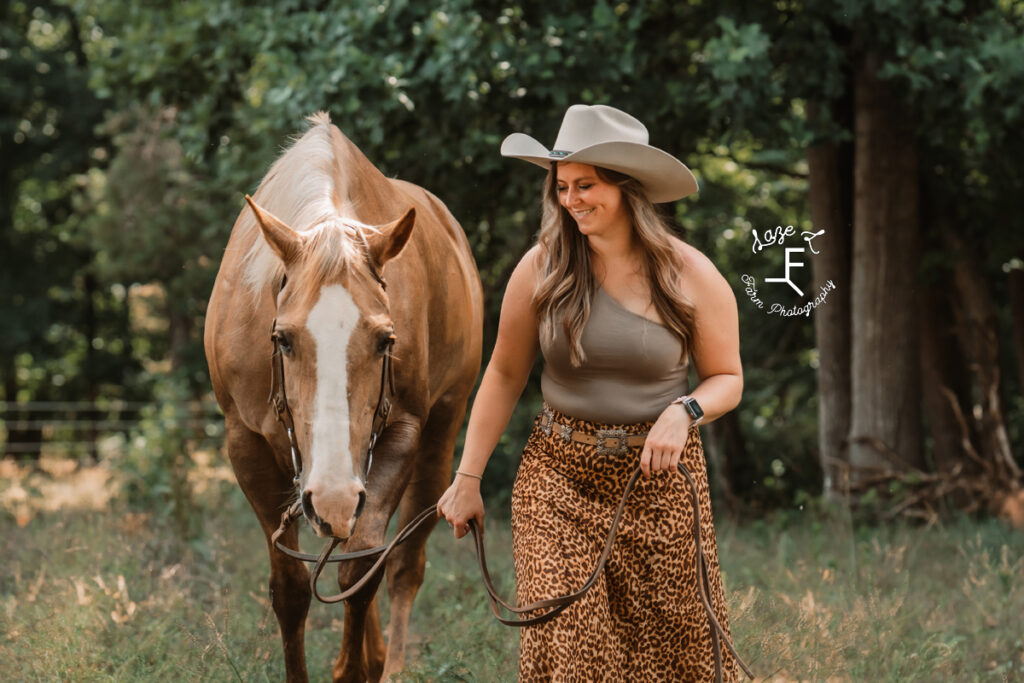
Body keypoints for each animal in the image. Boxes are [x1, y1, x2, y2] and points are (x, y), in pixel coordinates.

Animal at [205, 113, 485, 683]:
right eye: (282, 339)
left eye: (386, 341)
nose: (331, 494)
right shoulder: (244, 444)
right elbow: (291, 589)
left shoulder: (400, 434)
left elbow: (362, 568)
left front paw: (358, 666)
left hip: (441, 434)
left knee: (402, 565)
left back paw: (389, 663)